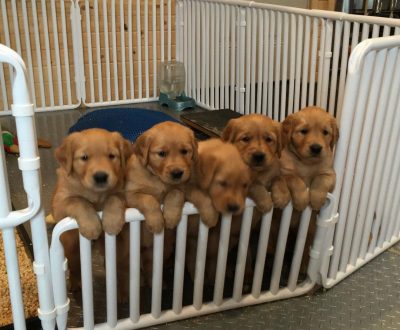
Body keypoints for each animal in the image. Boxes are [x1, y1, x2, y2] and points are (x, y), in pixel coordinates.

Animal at [50, 127, 132, 290]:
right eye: (84, 157)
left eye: (111, 156)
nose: (101, 176)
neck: (96, 194)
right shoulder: (60, 203)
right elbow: (79, 200)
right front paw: (91, 226)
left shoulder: (122, 191)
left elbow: (114, 198)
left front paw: (112, 222)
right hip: (71, 244)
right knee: (74, 265)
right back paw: (74, 284)